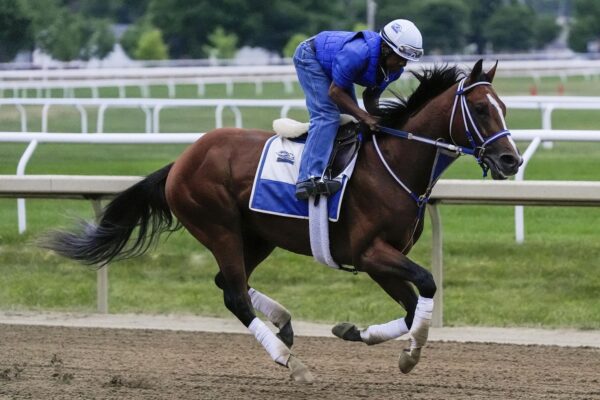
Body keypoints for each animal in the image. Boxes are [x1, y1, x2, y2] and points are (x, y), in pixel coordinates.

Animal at [43, 59, 520, 382]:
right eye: (480, 110)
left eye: (504, 108)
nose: (510, 160)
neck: (395, 164)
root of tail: (181, 161)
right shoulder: (370, 253)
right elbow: (427, 283)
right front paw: (411, 355)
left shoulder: (381, 260)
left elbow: (408, 308)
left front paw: (354, 331)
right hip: (217, 225)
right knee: (235, 295)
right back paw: (289, 360)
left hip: (256, 236)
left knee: (226, 283)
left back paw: (285, 325)